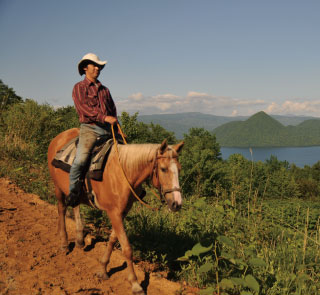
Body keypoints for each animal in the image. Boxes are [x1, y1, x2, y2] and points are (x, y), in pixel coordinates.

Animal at [46, 128, 184, 294]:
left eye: (179, 169)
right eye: (163, 169)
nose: (177, 203)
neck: (124, 173)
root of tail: (58, 138)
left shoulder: (121, 213)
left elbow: (112, 240)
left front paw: (102, 269)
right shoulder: (114, 213)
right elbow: (127, 248)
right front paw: (135, 284)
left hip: (73, 191)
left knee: (75, 205)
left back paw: (79, 239)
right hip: (58, 187)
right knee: (61, 209)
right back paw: (64, 243)